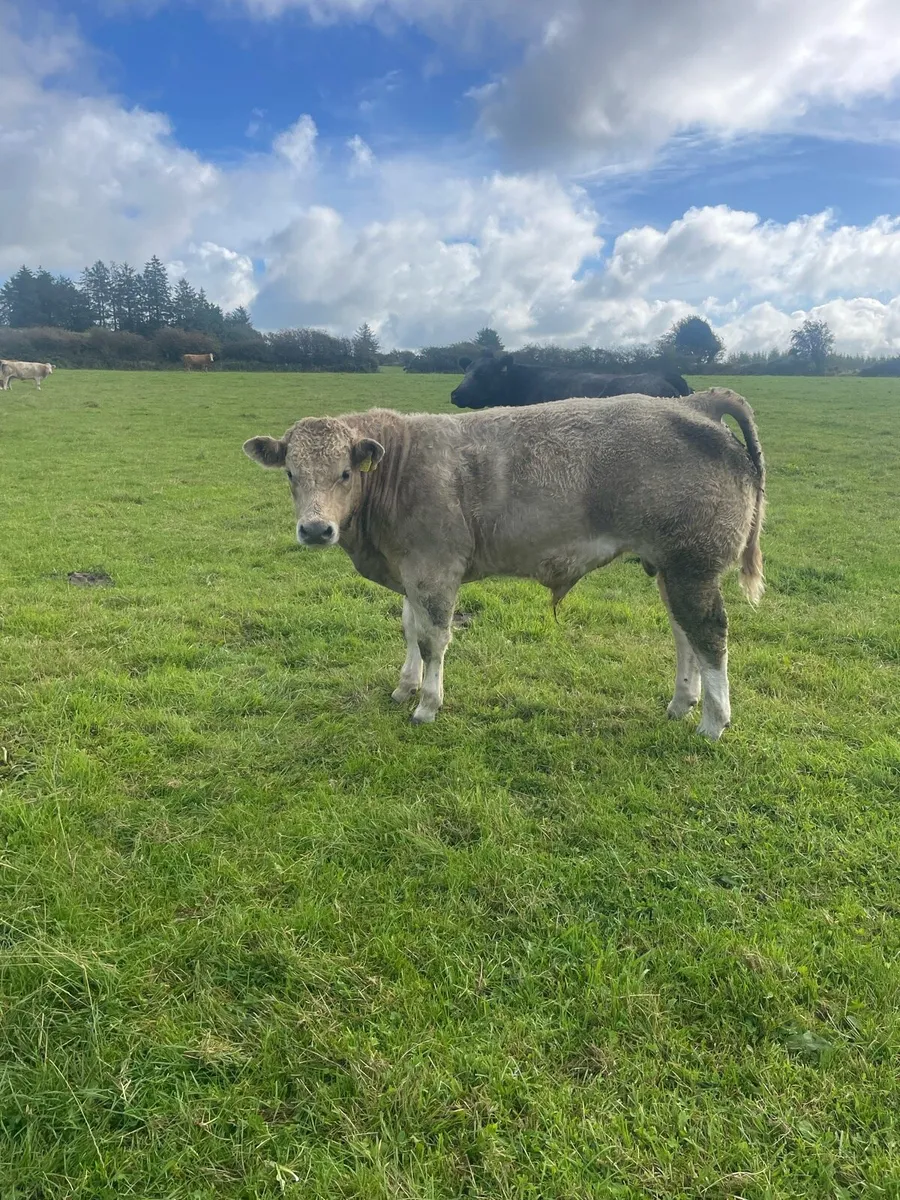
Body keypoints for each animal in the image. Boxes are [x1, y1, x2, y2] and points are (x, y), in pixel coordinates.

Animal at [242, 387, 765, 740]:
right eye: (291, 473)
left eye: (346, 473)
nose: (315, 530)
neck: (398, 470)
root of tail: (692, 403)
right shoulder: (411, 570)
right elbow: (410, 629)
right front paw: (405, 687)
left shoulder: (436, 570)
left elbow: (433, 640)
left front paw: (427, 705)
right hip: (671, 566)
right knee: (684, 632)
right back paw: (682, 702)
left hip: (693, 564)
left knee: (708, 634)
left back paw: (713, 722)